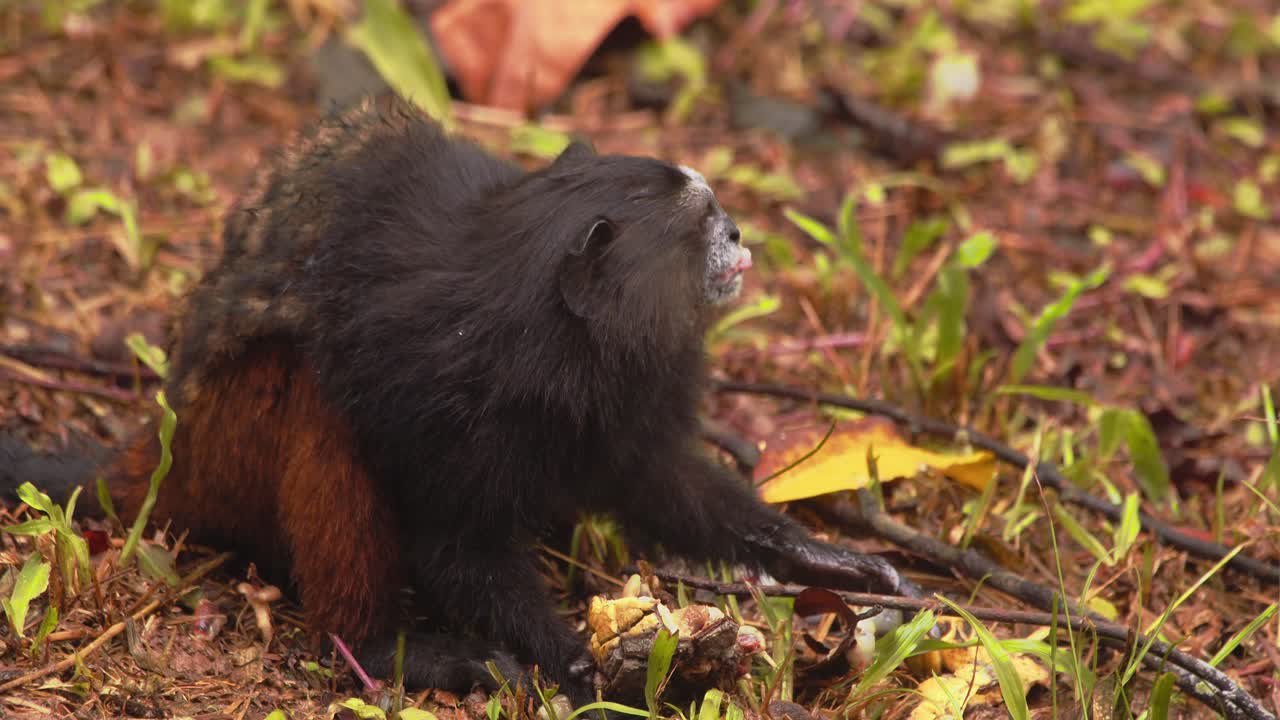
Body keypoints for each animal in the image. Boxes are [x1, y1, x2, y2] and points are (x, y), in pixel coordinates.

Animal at [1, 97, 919, 705]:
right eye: (705, 226)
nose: (739, 237)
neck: (553, 332)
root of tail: (170, 447)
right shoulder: (450, 388)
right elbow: (452, 543)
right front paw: (576, 660)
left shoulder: (634, 380)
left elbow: (658, 483)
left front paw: (816, 558)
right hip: (230, 446)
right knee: (309, 390)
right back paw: (380, 648)